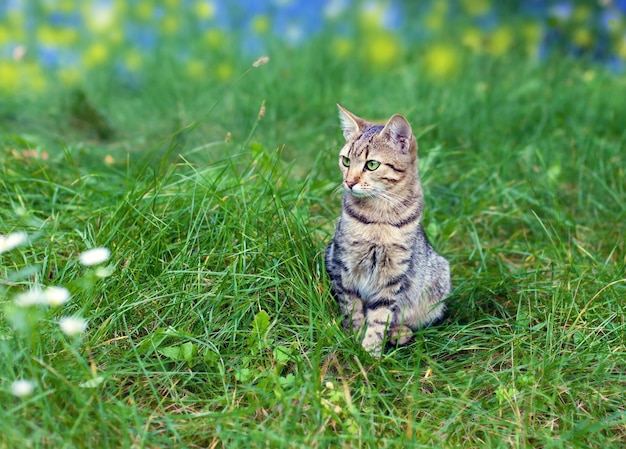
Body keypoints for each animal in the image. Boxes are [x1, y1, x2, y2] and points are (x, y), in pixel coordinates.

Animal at [324, 103, 450, 356]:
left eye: (372, 164)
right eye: (345, 160)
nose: (349, 182)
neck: (379, 218)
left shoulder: (392, 274)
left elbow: (380, 317)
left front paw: (370, 352)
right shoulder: (344, 265)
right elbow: (353, 310)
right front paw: (355, 341)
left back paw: (398, 333)